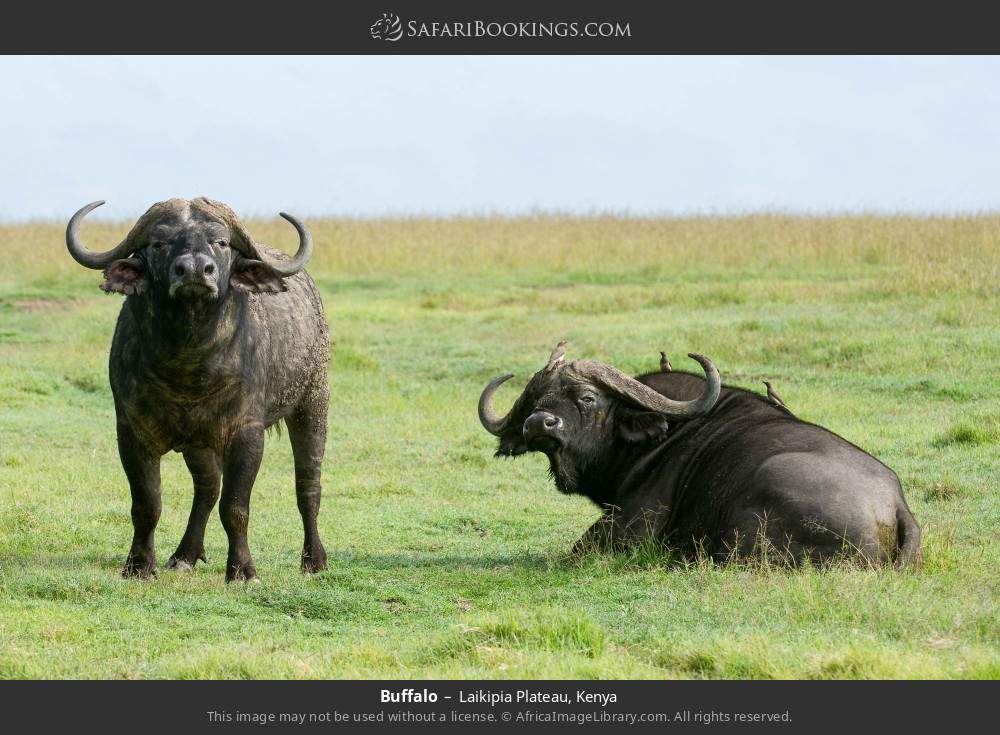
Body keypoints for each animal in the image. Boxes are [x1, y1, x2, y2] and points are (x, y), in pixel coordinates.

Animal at [66, 198, 329, 581]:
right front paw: (139, 565)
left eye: (220, 242)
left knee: (308, 484)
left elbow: (236, 507)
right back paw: (185, 554)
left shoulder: (247, 434)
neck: (189, 365)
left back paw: (314, 560)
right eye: (158, 243)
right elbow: (147, 504)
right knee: (207, 489)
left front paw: (242, 570)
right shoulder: (131, 433)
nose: (194, 271)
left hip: (313, 402)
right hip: (198, 443)